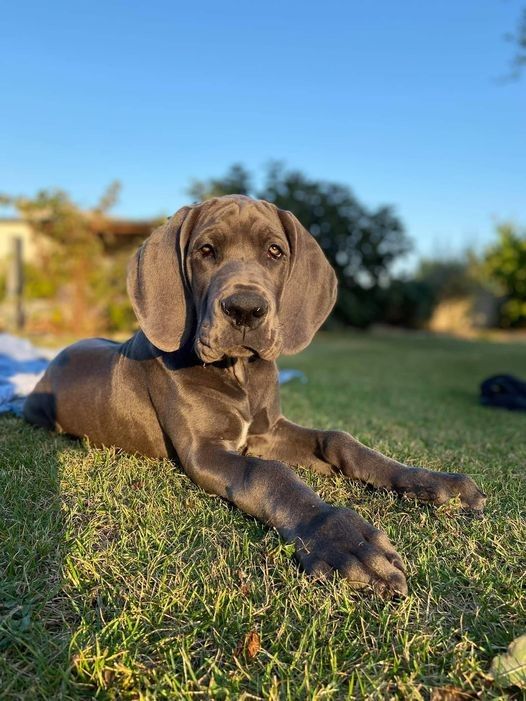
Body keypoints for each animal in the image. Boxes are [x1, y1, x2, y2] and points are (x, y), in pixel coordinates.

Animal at [24, 195, 486, 595]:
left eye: (275, 252)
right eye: (206, 250)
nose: (245, 309)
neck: (240, 372)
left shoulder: (269, 429)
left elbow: (339, 439)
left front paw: (431, 481)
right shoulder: (206, 450)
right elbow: (270, 474)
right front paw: (345, 540)